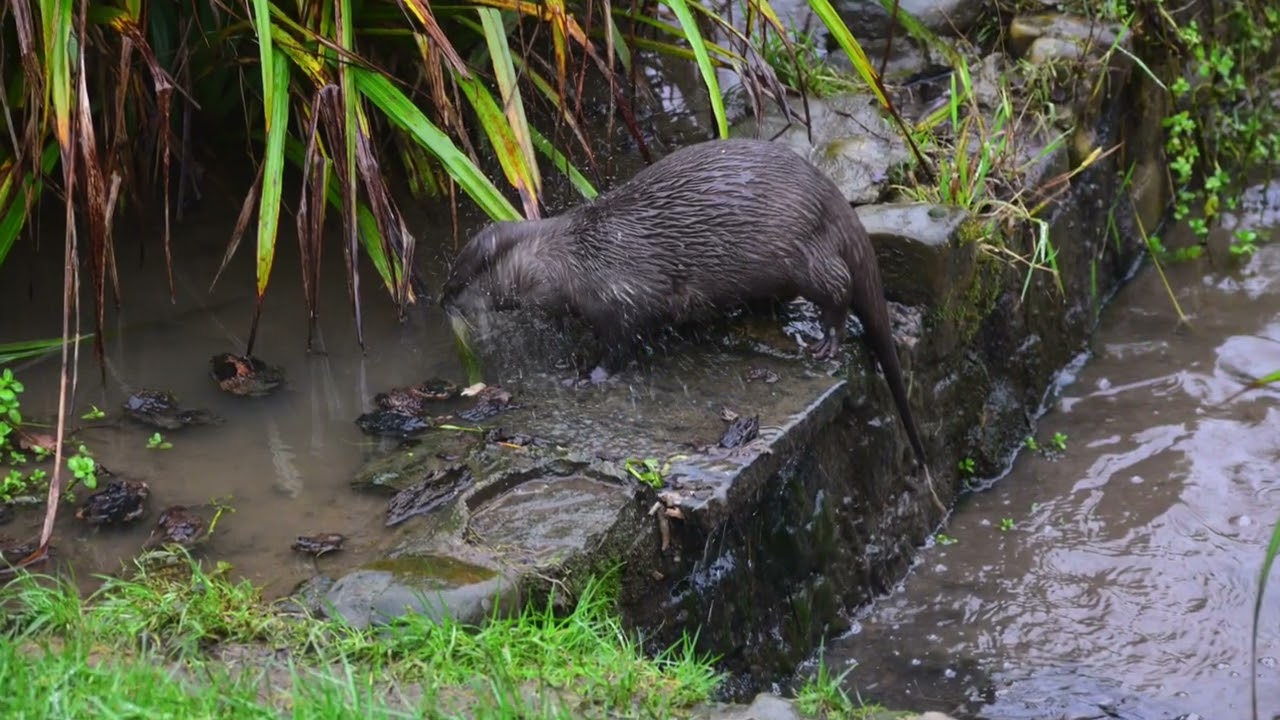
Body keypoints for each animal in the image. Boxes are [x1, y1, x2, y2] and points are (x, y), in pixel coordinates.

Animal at [438, 138, 933, 481]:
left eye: (459, 281)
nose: (442, 301)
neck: (574, 260)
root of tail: (830, 195)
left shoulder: (624, 298)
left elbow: (620, 344)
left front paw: (586, 376)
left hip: (804, 253)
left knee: (839, 285)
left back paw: (827, 338)